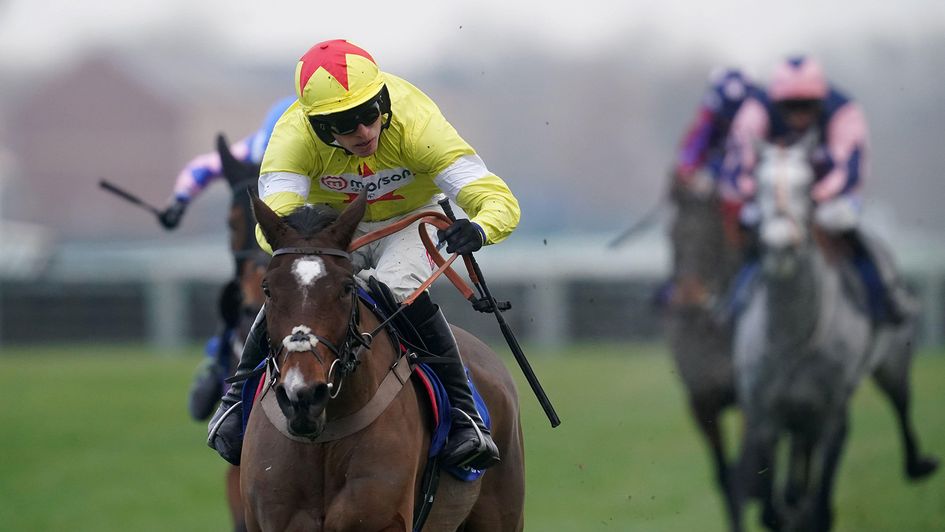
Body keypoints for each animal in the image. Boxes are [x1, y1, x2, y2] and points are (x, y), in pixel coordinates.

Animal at [240, 192, 528, 532]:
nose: (303, 394)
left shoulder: (381, 519)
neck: (323, 437)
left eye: (347, 287)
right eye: (268, 289)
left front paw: (466, 234)